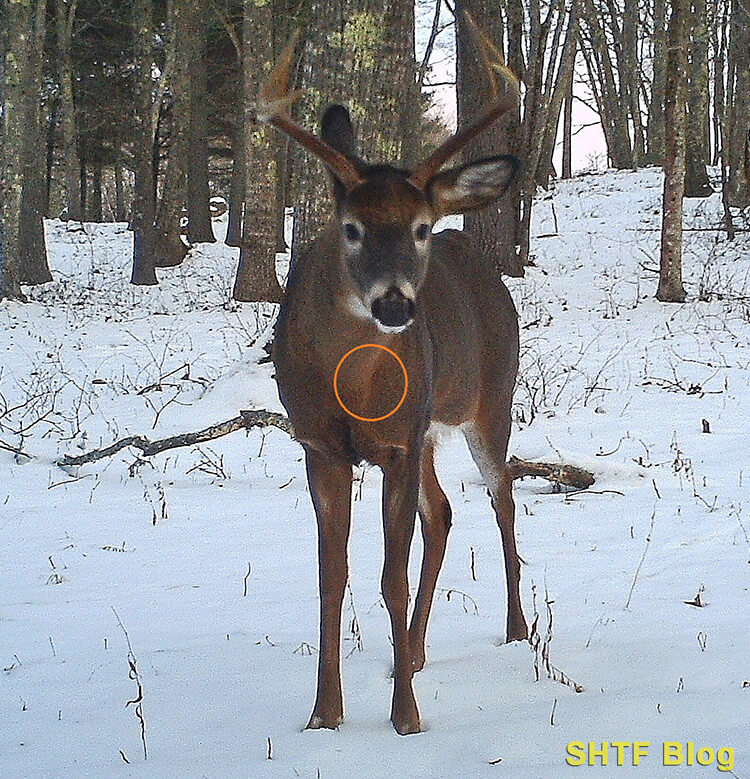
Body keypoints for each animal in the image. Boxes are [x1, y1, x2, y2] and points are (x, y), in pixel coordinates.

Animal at [262, 18, 524, 736]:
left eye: (420, 227)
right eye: (350, 228)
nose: (396, 304)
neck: (354, 388)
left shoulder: (398, 442)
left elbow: (390, 577)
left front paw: (405, 717)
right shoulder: (322, 446)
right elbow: (332, 578)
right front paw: (324, 714)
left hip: (489, 402)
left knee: (503, 497)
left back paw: (517, 631)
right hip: (430, 425)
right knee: (444, 513)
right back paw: (416, 649)